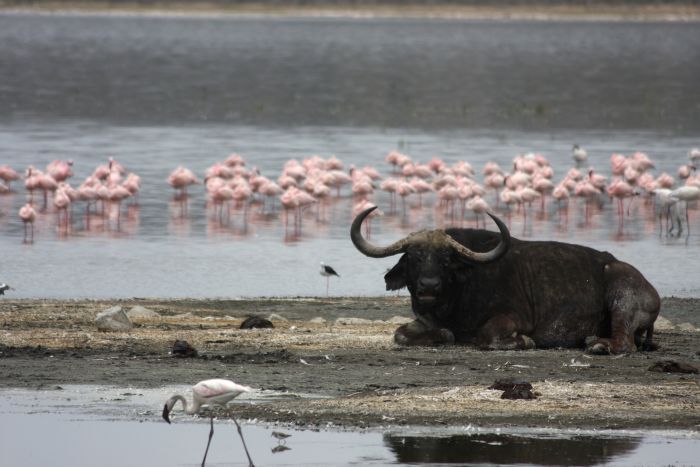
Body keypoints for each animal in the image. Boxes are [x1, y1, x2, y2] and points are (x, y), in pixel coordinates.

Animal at [352, 208, 660, 354]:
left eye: (445, 259)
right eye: (414, 257)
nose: (428, 286)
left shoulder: (513, 318)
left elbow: (486, 337)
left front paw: (525, 341)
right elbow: (401, 334)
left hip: (622, 296)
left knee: (625, 341)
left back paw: (597, 344)